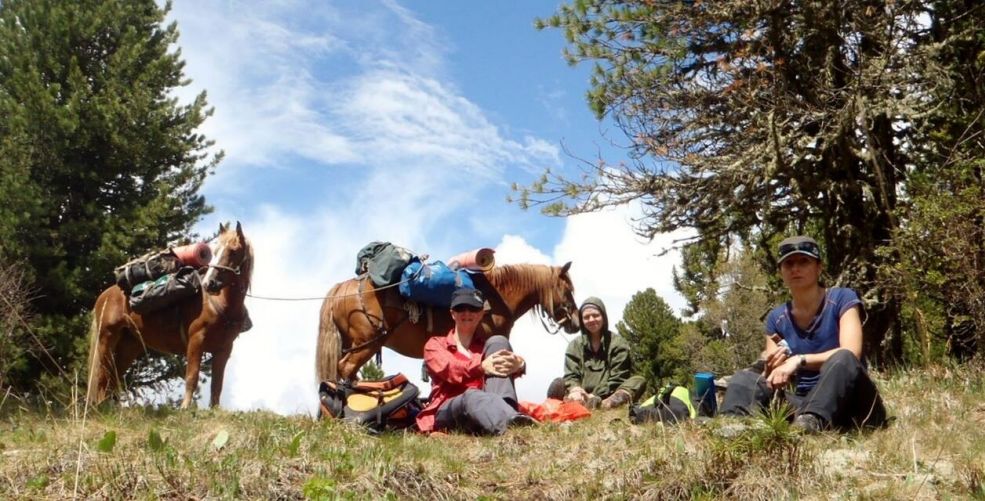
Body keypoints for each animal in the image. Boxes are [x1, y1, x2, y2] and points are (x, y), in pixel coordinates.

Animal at [85, 222, 254, 406]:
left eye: (233, 251)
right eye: (215, 251)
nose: (210, 283)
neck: (220, 304)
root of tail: (104, 295)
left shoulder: (223, 350)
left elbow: (217, 387)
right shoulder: (196, 341)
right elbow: (192, 378)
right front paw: (185, 408)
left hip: (130, 344)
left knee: (113, 377)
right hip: (107, 337)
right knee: (103, 375)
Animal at [316, 260, 580, 380]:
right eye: (568, 290)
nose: (576, 322)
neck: (496, 297)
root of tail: (342, 288)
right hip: (368, 342)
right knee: (346, 369)